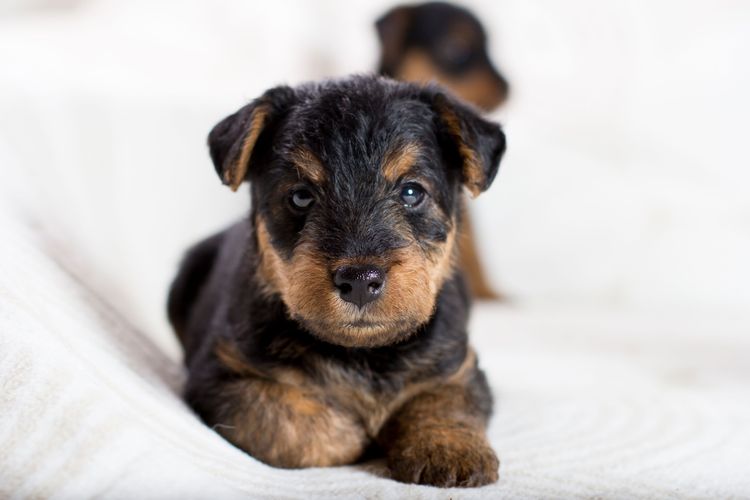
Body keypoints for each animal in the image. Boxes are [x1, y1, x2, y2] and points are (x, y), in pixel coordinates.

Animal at [168, 75, 508, 488]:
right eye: (300, 196)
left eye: (412, 191)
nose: (360, 280)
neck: (364, 354)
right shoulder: (220, 375)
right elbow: (287, 418)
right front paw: (357, 433)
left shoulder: (459, 367)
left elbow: (443, 402)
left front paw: (447, 449)